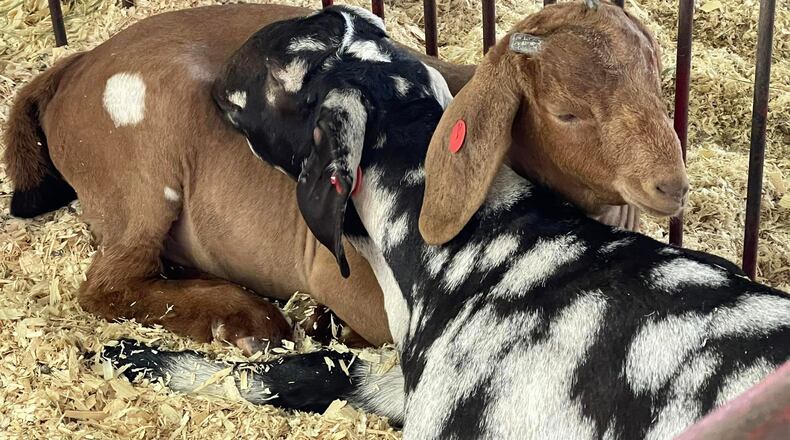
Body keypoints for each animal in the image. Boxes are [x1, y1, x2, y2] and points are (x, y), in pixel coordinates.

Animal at [5, 1, 686, 352]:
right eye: (567, 112)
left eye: (659, 80)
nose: (671, 185)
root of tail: (75, 65)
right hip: (143, 172)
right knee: (108, 284)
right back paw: (242, 319)